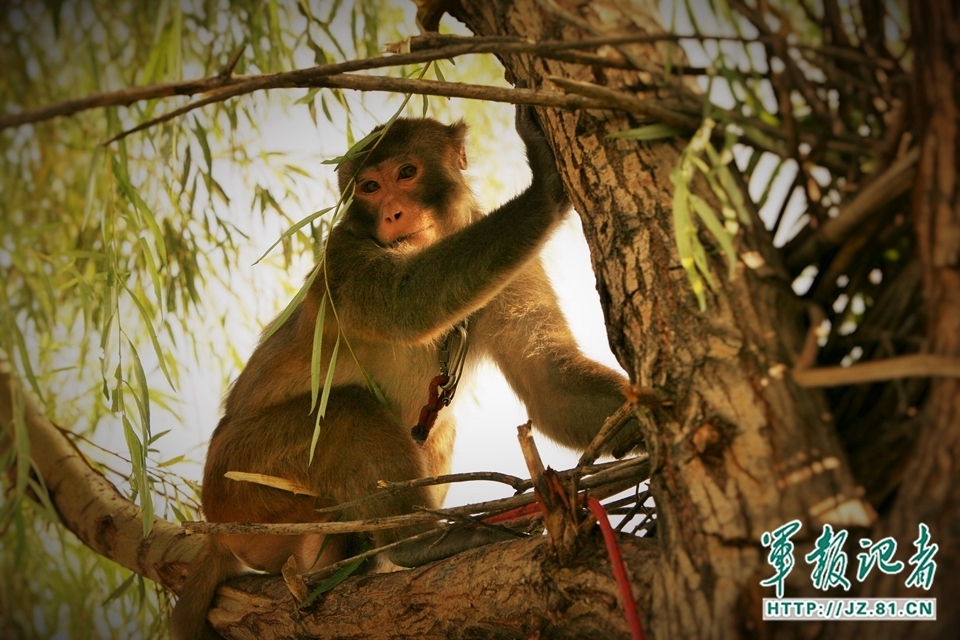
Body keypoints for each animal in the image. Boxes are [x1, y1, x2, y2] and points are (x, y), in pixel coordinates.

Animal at [172, 106, 636, 640]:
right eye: (370, 187)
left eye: (407, 173)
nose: (393, 212)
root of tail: (217, 532)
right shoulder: (341, 257)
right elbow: (407, 302)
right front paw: (544, 183)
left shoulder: (514, 276)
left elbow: (549, 387)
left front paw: (642, 420)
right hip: (240, 479)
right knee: (347, 411)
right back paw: (417, 544)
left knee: (434, 426)